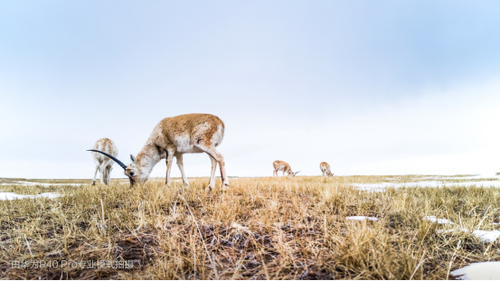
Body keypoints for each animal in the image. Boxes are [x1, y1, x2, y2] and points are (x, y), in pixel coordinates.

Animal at [89, 112, 229, 189]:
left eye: (131, 173)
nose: (133, 187)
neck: (159, 131)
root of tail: (220, 121)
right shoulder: (179, 153)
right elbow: (180, 166)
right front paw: (186, 185)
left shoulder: (170, 149)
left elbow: (168, 164)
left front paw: (166, 185)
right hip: (207, 147)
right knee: (214, 161)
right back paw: (210, 187)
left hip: (204, 144)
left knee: (220, 157)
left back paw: (224, 186)